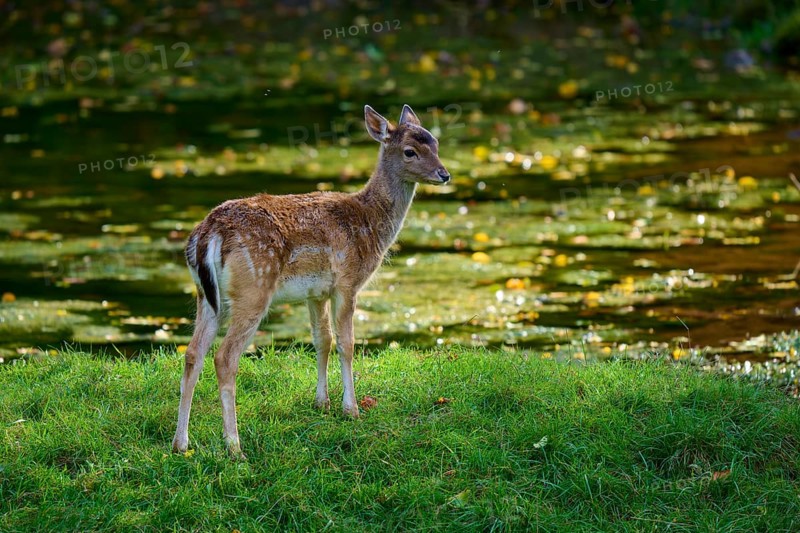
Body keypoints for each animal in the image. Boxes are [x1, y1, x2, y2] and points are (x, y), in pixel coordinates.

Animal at [172, 104, 451, 457]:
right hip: (253, 289)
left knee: (193, 353)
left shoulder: (316, 292)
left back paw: (180, 443)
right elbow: (347, 344)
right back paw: (235, 446)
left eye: (436, 143)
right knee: (224, 357)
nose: (444, 174)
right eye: (410, 151)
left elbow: (322, 340)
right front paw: (351, 409)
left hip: (206, 296)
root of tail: (208, 234)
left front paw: (322, 403)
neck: (369, 223)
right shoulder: (348, 282)